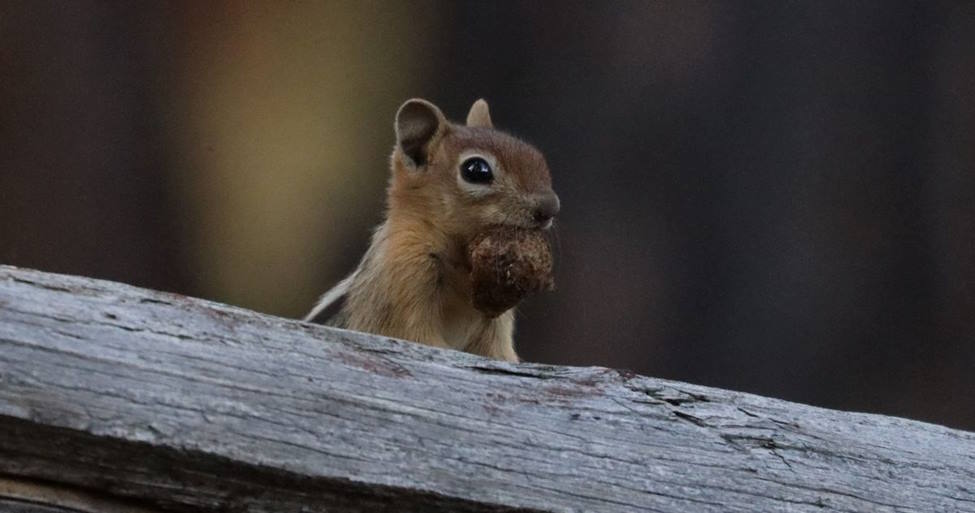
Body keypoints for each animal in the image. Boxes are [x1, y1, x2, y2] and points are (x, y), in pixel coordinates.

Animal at [308, 98, 560, 362]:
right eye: (476, 170)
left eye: (536, 156)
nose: (550, 207)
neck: (461, 259)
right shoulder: (407, 275)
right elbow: (418, 335)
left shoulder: (495, 322)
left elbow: (499, 352)